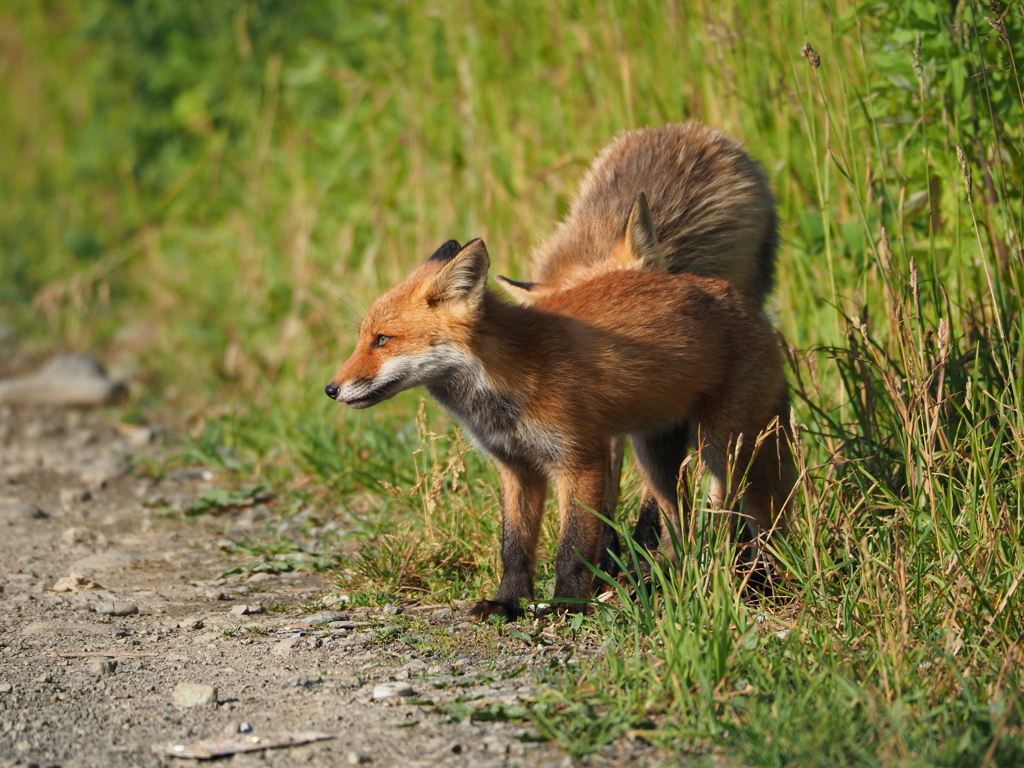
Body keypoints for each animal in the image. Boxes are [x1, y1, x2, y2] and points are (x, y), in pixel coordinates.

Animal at [325, 237, 790, 622]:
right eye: (363, 338)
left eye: (382, 340)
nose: (331, 389)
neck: (509, 379)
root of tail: (752, 307)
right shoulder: (516, 469)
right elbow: (514, 548)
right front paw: (507, 604)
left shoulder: (581, 460)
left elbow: (573, 548)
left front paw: (566, 605)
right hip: (656, 458)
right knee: (680, 529)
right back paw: (667, 583)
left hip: (725, 451)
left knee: (759, 520)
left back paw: (765, 584)